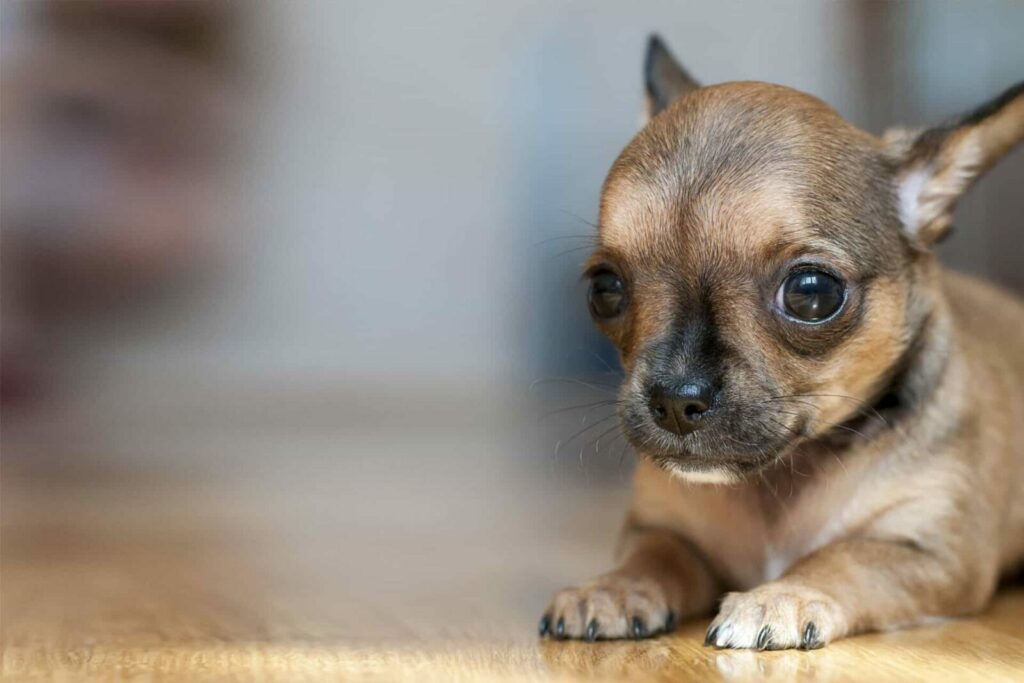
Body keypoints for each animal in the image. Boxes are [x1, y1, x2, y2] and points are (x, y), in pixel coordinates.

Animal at [540, 37, 1019, 651]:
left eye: (811, 293)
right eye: (605, 290)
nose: (674, 399)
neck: (780, 480)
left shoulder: (932, 553)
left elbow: (843, 557)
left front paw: (782, 596)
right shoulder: (662, 528)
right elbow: (654, 555)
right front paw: (613, 587)